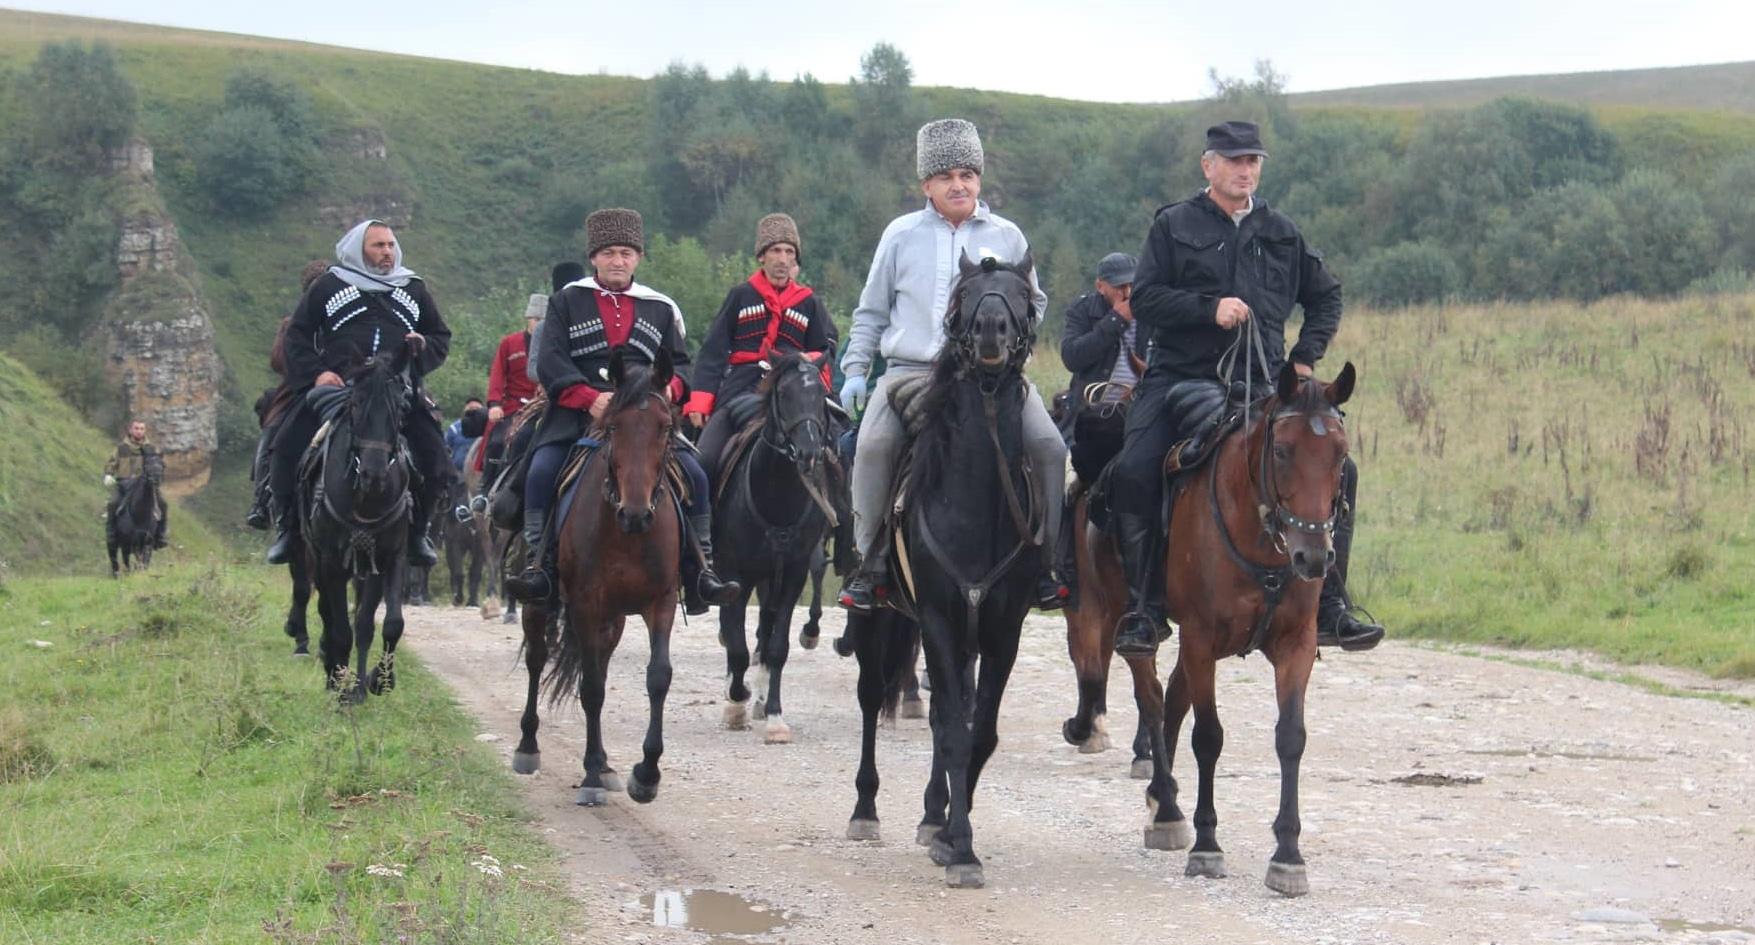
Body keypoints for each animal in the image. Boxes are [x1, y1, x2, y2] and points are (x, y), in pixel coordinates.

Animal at [298, 351, 417, 699]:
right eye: (355, 404)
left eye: (399, 407)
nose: (373, 475)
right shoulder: (331, 562)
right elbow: (341, 628)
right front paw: (341, 687)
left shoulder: (389, 556)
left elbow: (384, 624)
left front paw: (376, 681)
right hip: (317, 558)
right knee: (327, 613)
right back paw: (331, 667)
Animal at [512, 346, 680, 800]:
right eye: (615, 425)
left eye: (664, 428)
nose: (636, 514)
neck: (628, 536)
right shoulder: (585, 604)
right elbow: (590, 689)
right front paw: (589, 775)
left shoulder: (661, 602)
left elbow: (658, 677)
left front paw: (647, 774)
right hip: (541, 603)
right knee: (538, 658)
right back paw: (528, 745)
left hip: (614, 619)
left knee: (601, 664)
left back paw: (605, 764)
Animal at [712, 349, 835, 737]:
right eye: (784, 394)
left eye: (821, 396)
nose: (809, 452)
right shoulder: (735, 573)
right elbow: (736, 646)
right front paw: (736, 700)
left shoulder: (792, 573)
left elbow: (777, 646)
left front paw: (775, 715)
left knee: (765, 631)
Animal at [849, 249, 1038, 881]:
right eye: (965, 296)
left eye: (1022, 296)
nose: (991, 332)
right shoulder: (935, 618)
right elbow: (954, 729)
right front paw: (962, 847)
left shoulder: (1002, 629)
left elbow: (978, 732)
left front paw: (951, 831)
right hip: (880, 619)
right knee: (871, 696)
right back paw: (865, 810)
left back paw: (934, 812)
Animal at [1053, 356, 1354, 892]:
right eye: (1282, 450)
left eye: (1340, 455)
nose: (1314, 557)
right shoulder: (1200, 638)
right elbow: (1208, 737)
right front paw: (1207, 843)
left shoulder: (1294, 645)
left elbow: (1290, 737)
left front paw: (1288, 854)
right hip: (1123, 618)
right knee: (1150, 698)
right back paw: (1170, 809)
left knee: (1171, 700)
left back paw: (1162, 801)